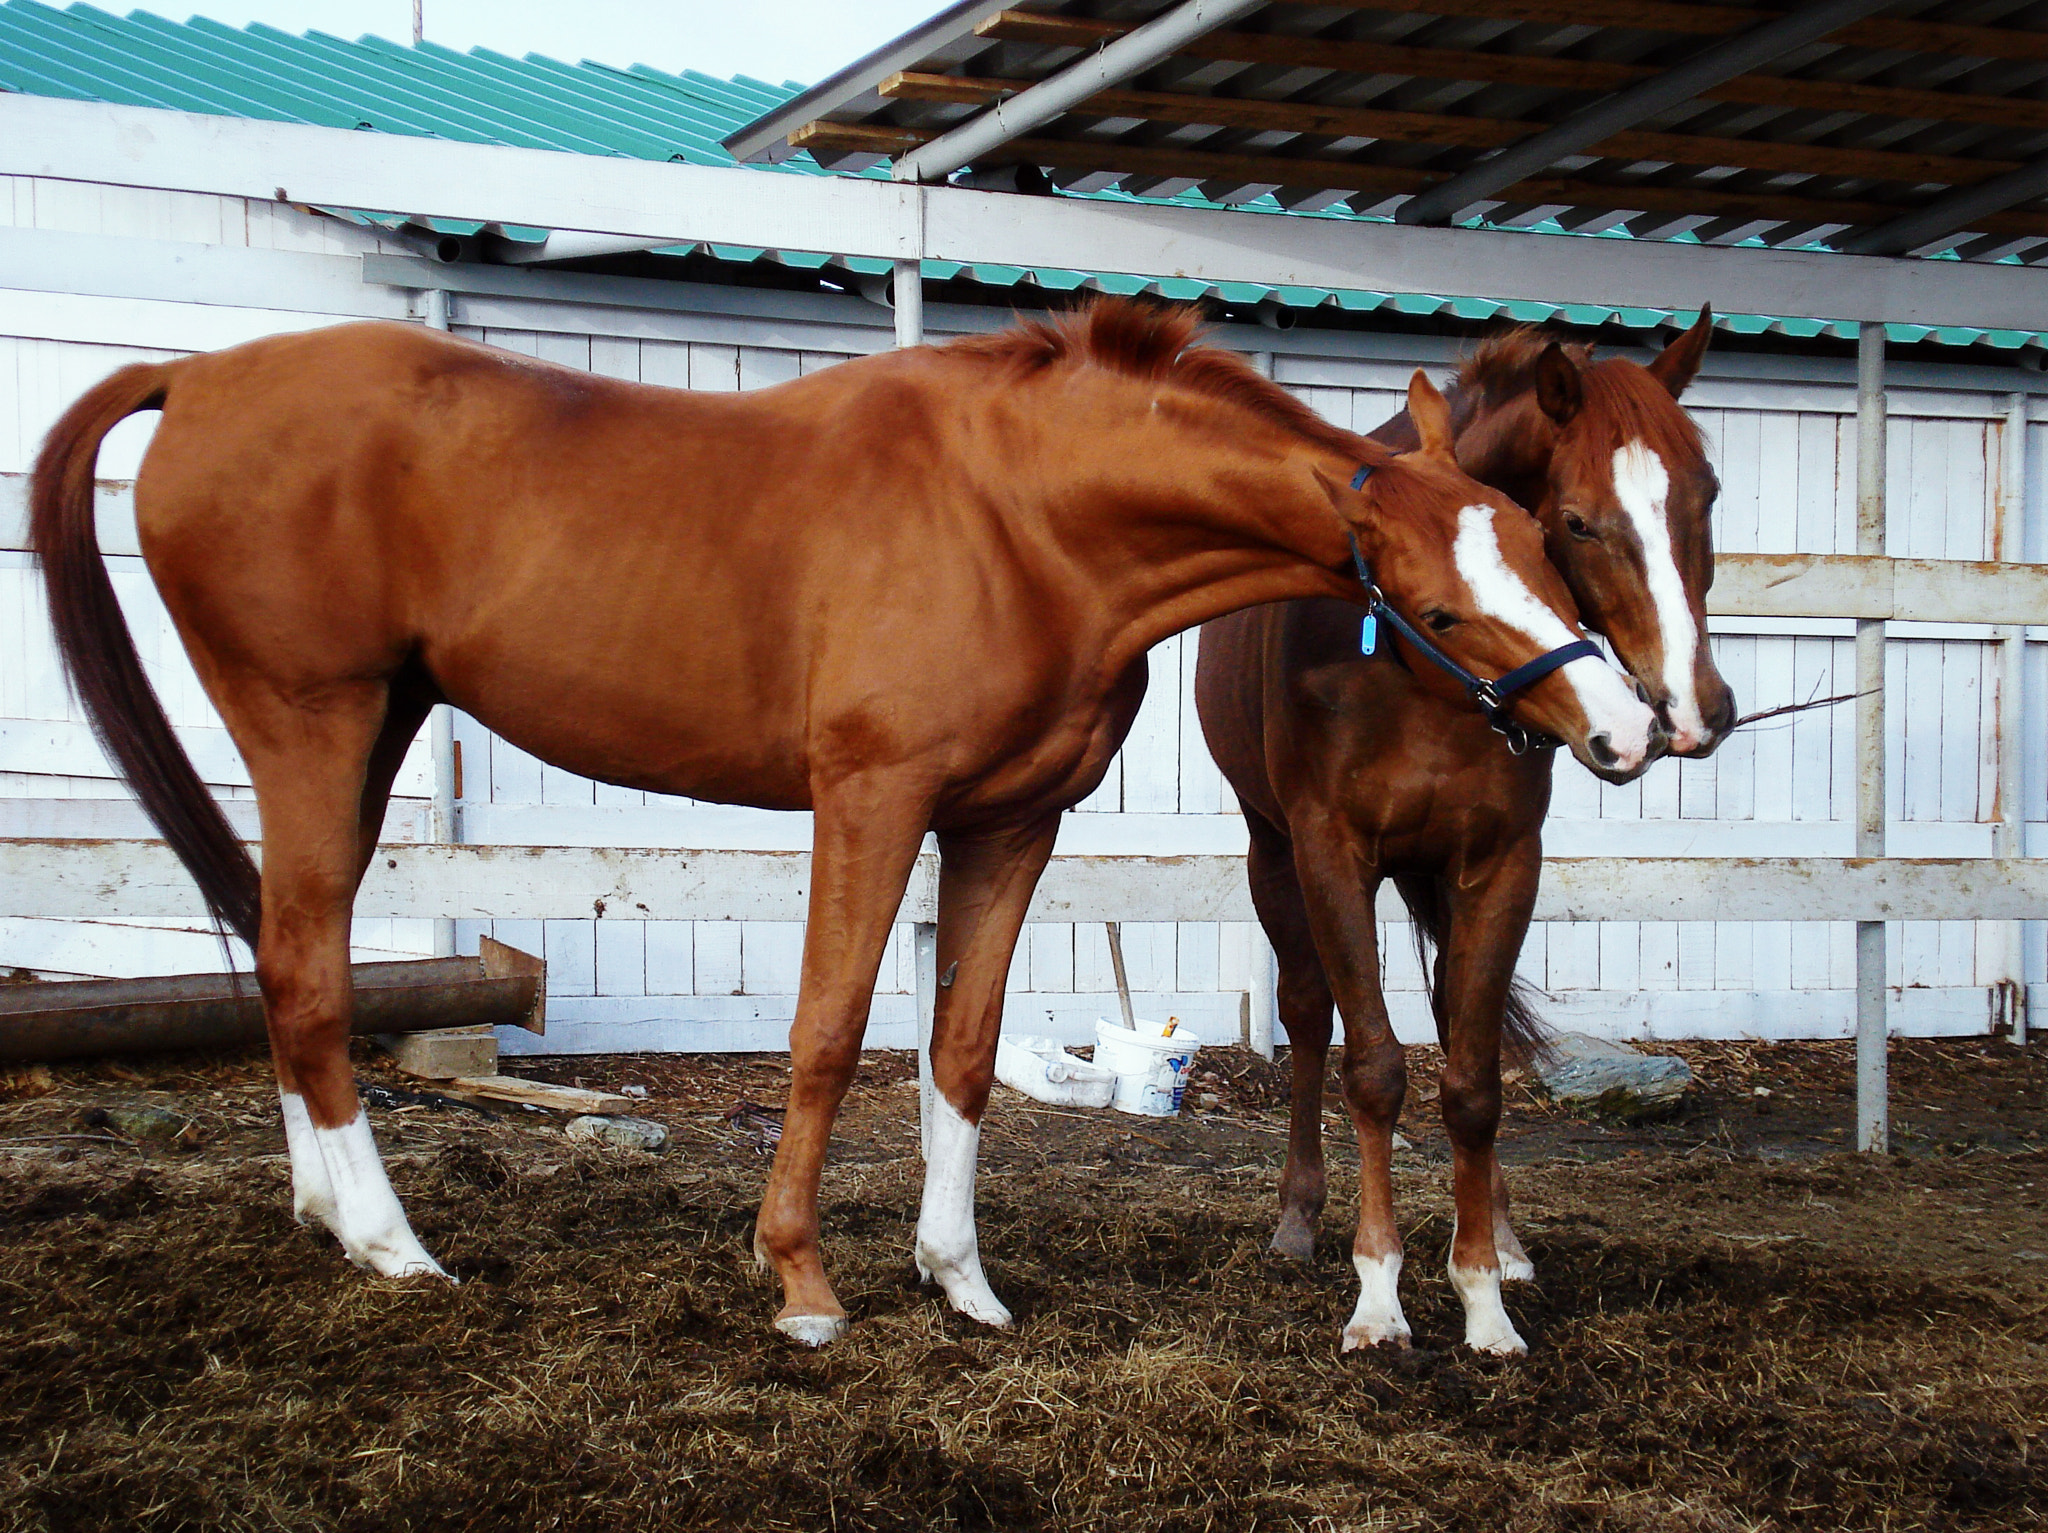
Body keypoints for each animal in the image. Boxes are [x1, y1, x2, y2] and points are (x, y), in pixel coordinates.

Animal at [1196, 313, 1736, 1350]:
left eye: (1710, 495)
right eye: (1578, 521)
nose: (1694, 712)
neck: (1417, 673)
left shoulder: (1497, 861)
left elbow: (1474, 1076)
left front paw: (1483, 1287)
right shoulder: (1331, 854)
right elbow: (1370, 1067)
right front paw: (1378, 1293)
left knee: (1455, 1019)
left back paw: (1505, 1236)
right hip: (1271, 855)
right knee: (1307, 1016)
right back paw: (1297, 1219)